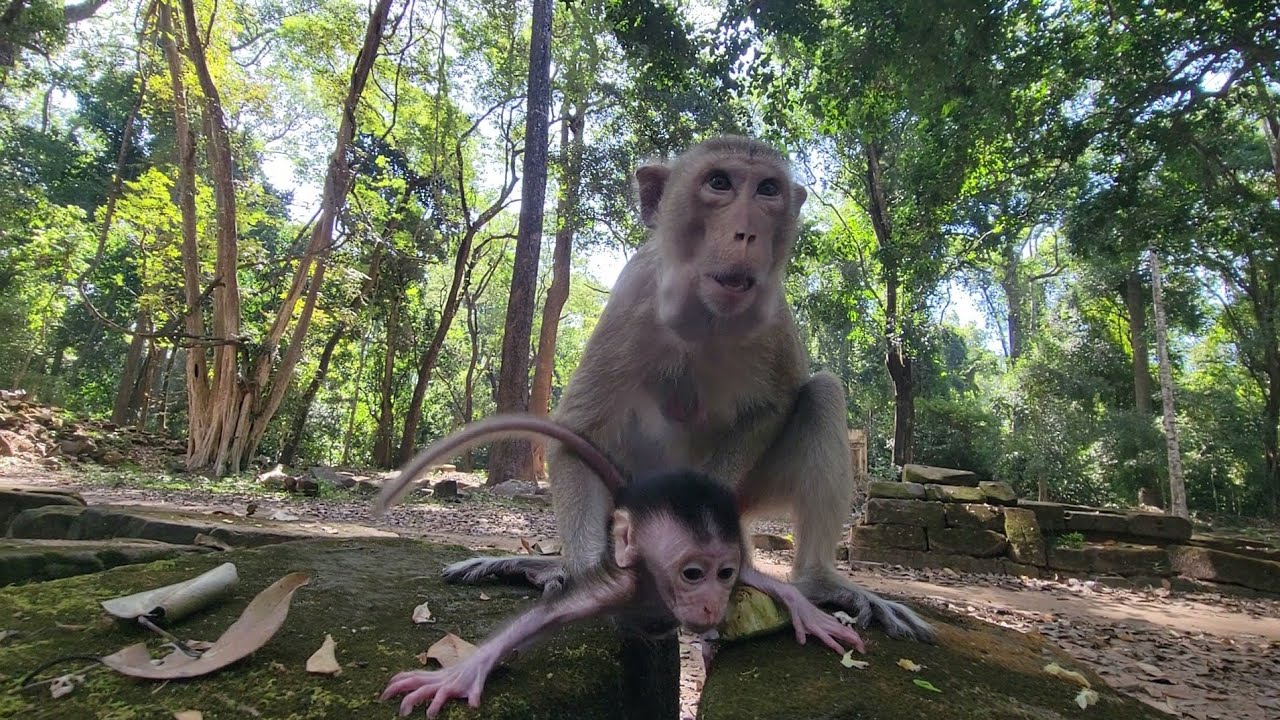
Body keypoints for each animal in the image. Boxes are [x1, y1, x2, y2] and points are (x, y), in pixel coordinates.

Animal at [375, 414, 864, 717]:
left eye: (723, 574)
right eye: (692, 574)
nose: (711, 606)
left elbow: (764, 581)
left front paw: (809, 611)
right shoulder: (623, 585)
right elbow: (542, 620)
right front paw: (462, 673)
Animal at [436, 136, 933, 642]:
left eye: (767, 190)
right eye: (719, 183)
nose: (746, 234)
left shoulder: (772, 308)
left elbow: (776, 404)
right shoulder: (634, 291)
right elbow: (580, 431)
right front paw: (590, 582)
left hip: (750, 494)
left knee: (822, 395)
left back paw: (819, 583)